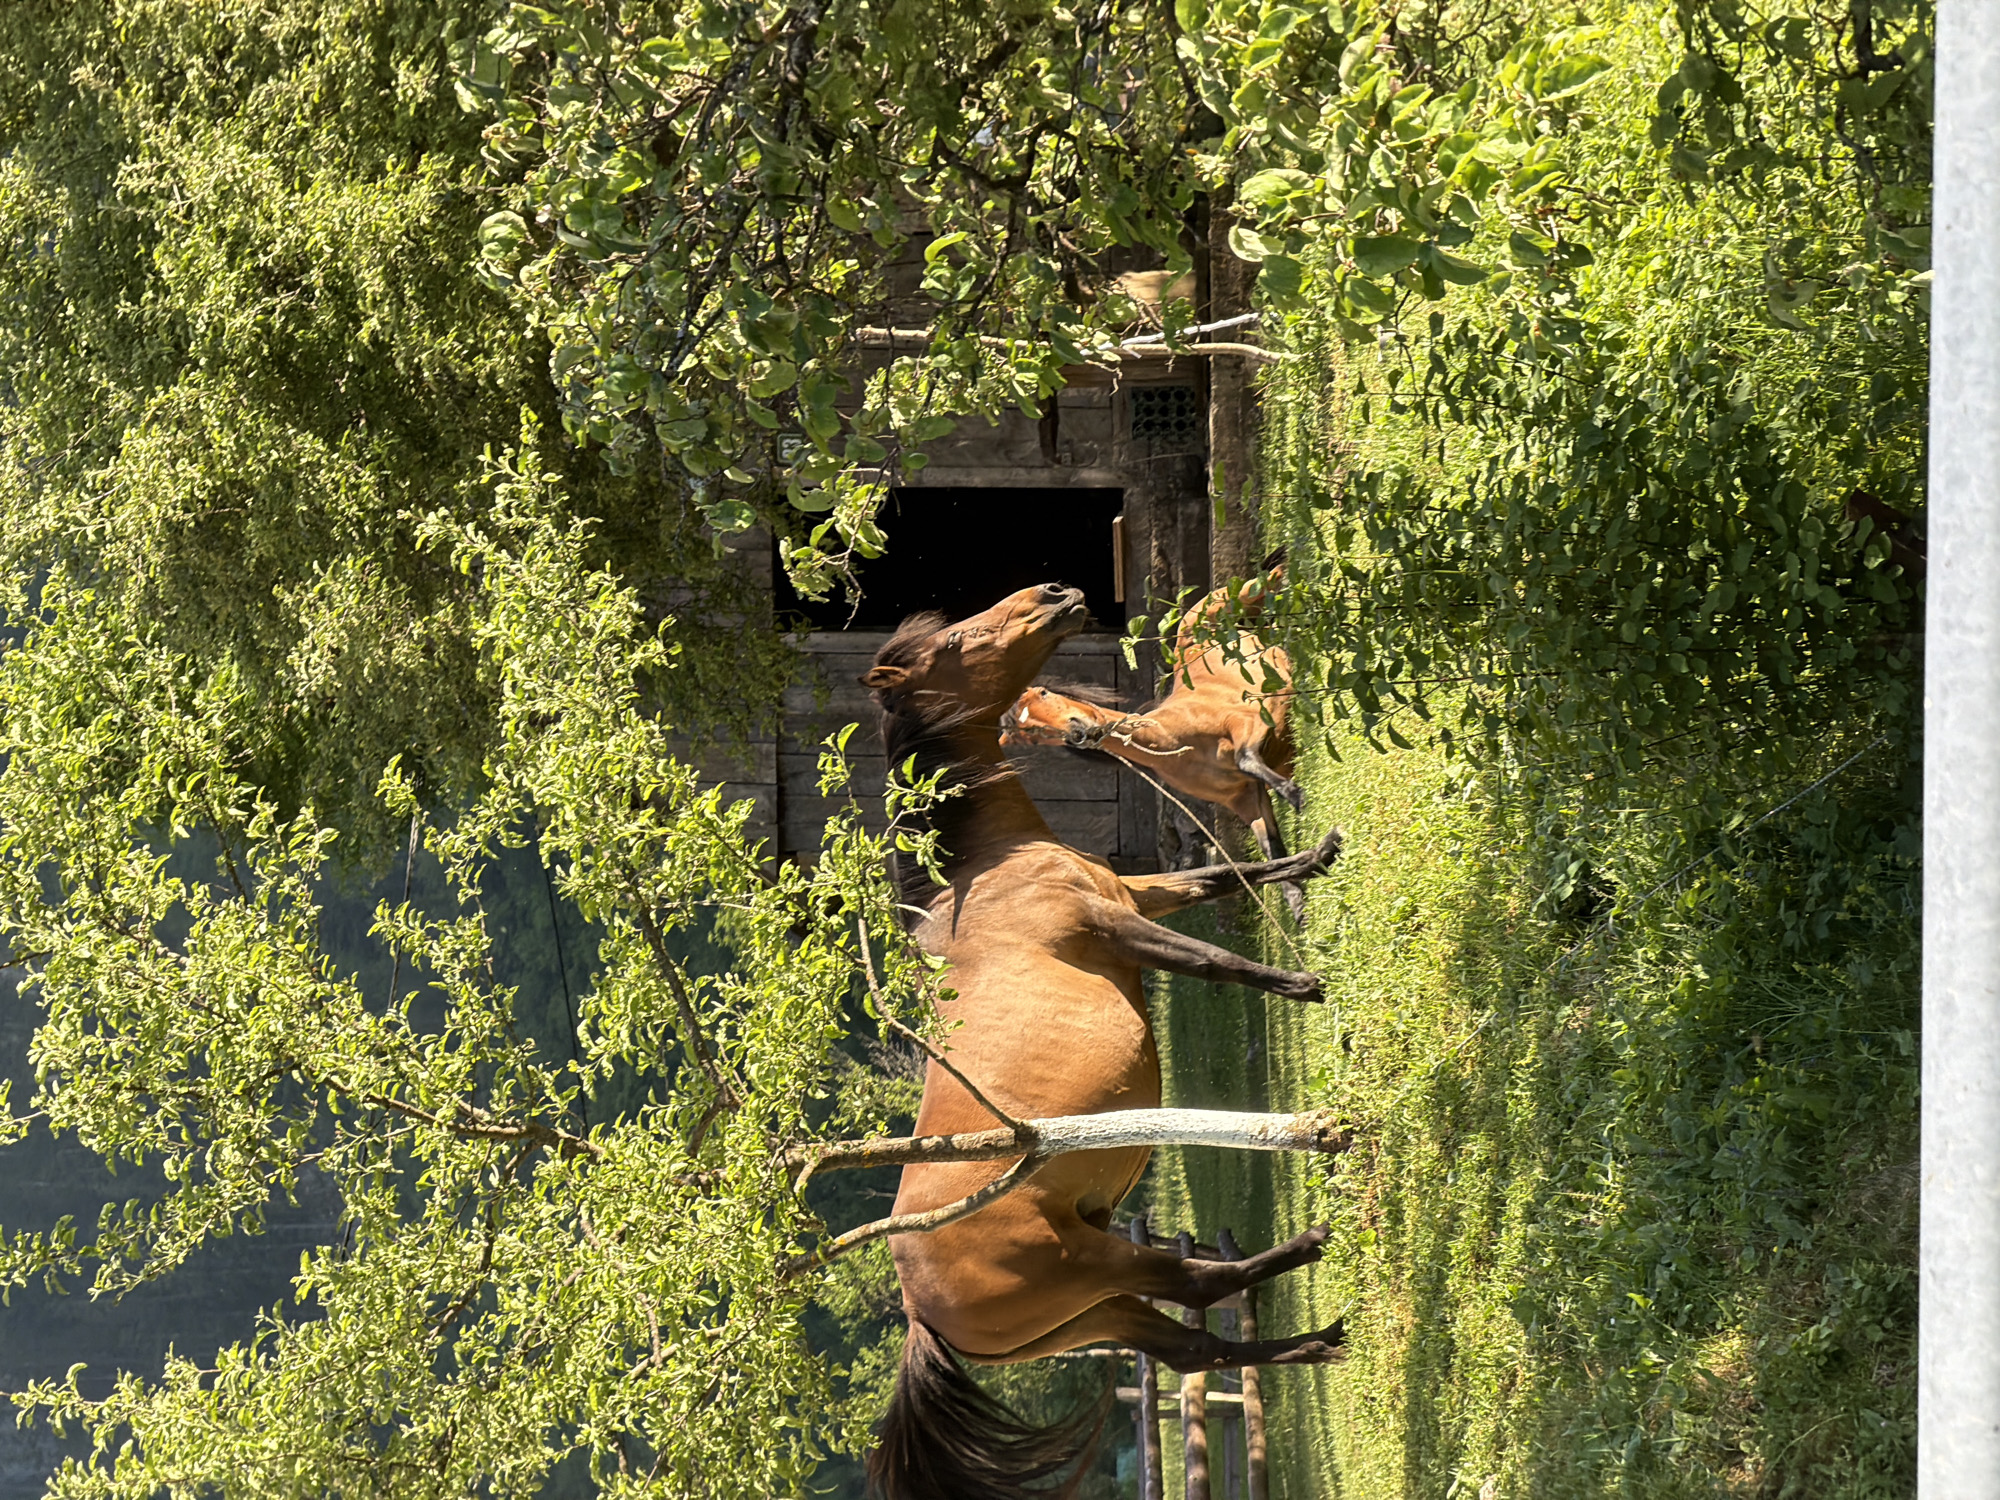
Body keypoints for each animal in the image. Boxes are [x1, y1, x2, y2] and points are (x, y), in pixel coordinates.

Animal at [998, 570, 1306, 919]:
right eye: (1028, 734)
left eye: (1044, 694)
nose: (1078, 732)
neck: (1175, 738)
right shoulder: (1245, 799)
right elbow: (1273, 847)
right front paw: (1300, 905)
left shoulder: (1249, 719)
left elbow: (1245, 757)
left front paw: (1297, 797)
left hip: (1244, 603)